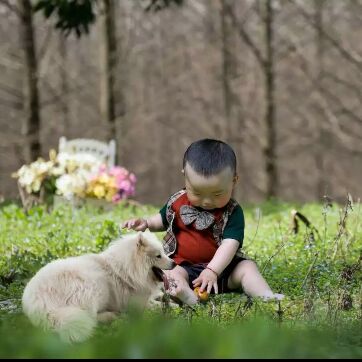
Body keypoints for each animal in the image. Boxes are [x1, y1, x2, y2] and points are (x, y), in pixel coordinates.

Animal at [21, 230, 175, 344]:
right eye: (158, 256)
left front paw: (168, 299)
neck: (128, 269)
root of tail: (38, 303)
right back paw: (113, 316)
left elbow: (160, 297)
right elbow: (154, 305)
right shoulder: (135, 303)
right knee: (92, 318)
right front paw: (171, 306)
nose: (174, 263)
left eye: (164, 253)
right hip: (92, 286)